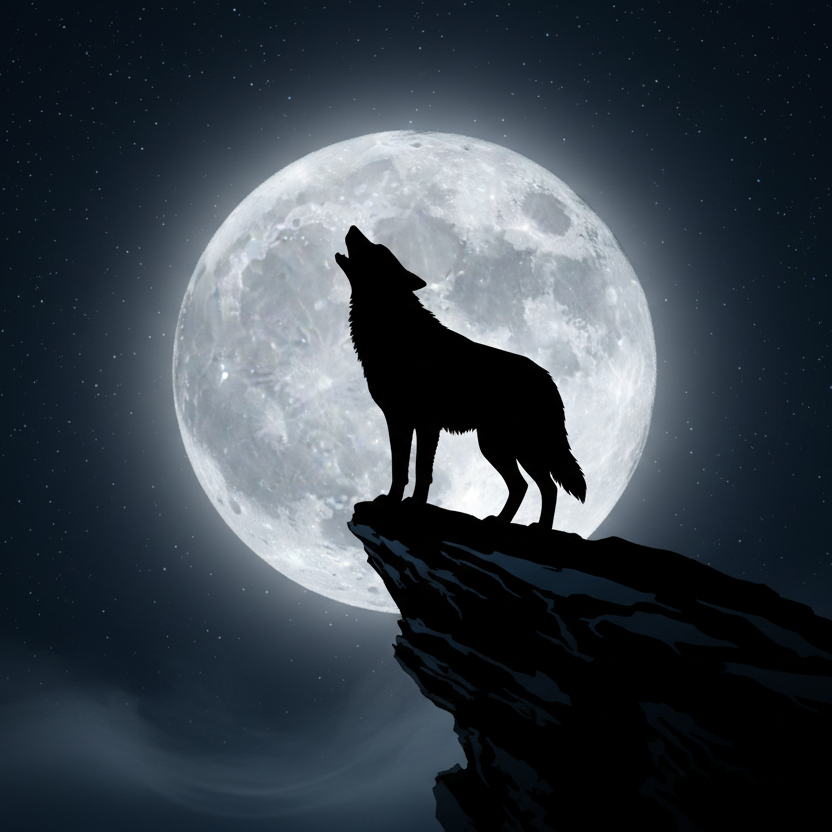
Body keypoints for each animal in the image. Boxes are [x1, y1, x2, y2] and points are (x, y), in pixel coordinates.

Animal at [335, 226, 586, 528]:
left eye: (378, 249)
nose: (352, 228)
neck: (396, 331)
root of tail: (549, 380)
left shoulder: (427, 424)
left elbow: (421, 471)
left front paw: (414, 507)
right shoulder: (397, 420)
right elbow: (399, 470)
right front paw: (390, 502)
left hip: (519, 448)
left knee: (545, 487)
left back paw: (539, 529)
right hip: (496, 446)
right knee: (524, 486)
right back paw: (500, 522)